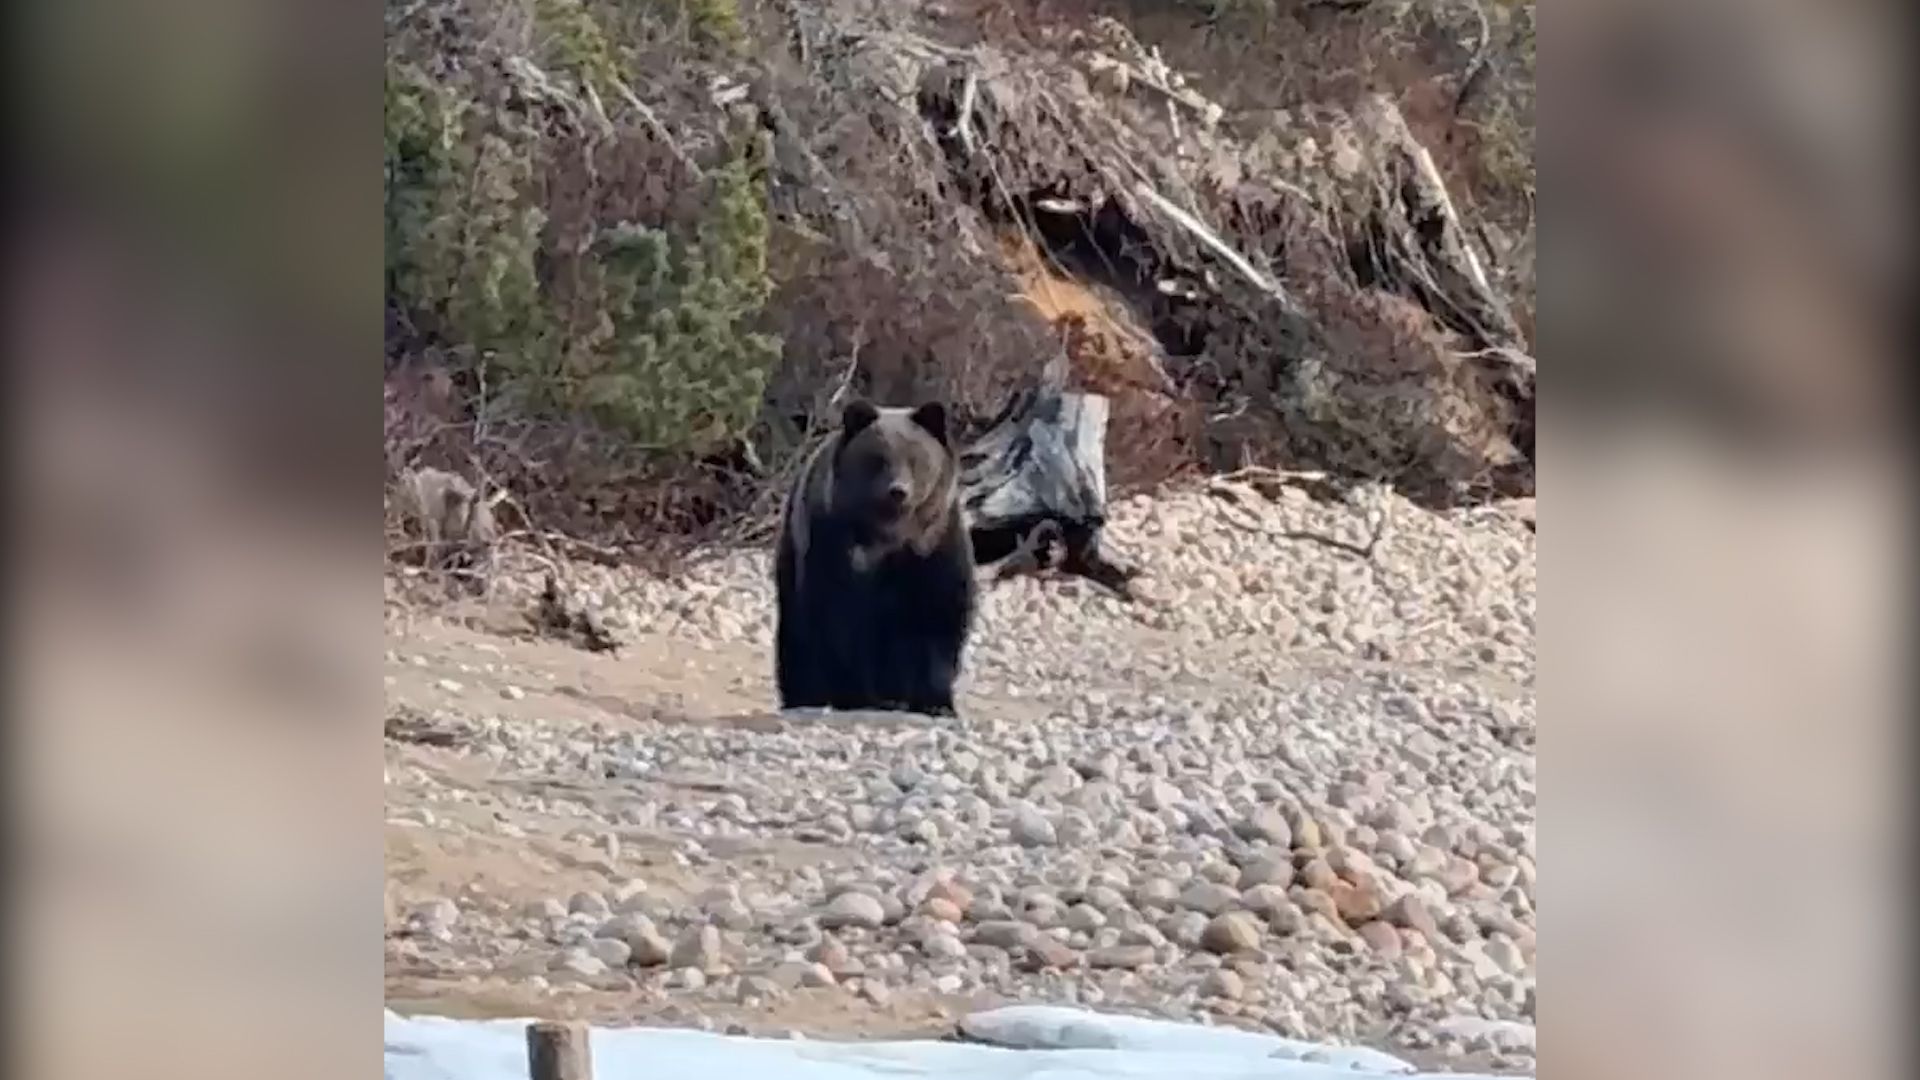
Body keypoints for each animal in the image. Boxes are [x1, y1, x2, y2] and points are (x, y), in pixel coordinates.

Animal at [771, 397, 975, 714]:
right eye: (876, 459)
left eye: (915, 458)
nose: (898, 491)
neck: (887, 540)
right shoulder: (833, 548)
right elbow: (840, 625)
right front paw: (856, 695)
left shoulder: (933, 548)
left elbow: (938, 618)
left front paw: (936, 702)